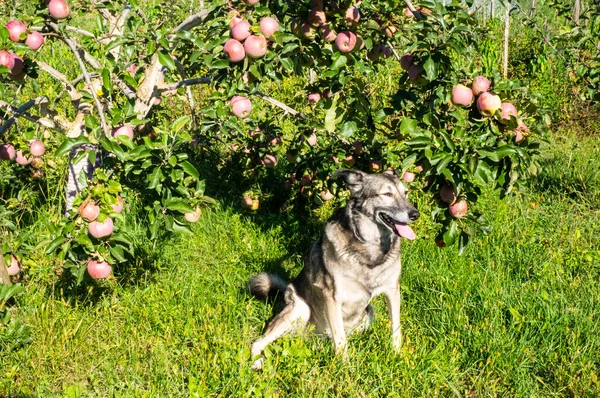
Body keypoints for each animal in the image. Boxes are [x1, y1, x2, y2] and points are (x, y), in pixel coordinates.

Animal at [246, 169, 420, 370]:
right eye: (387, 194)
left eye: (405, 193)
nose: (415, 214)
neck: (370, 246)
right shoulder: (332, 296)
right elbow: (340, 340)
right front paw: (345, 367)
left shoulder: (392, 290)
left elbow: (395, 328)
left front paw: (397, 355)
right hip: (300, 310)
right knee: (258, 342)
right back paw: (257, 362)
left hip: (368, 312)